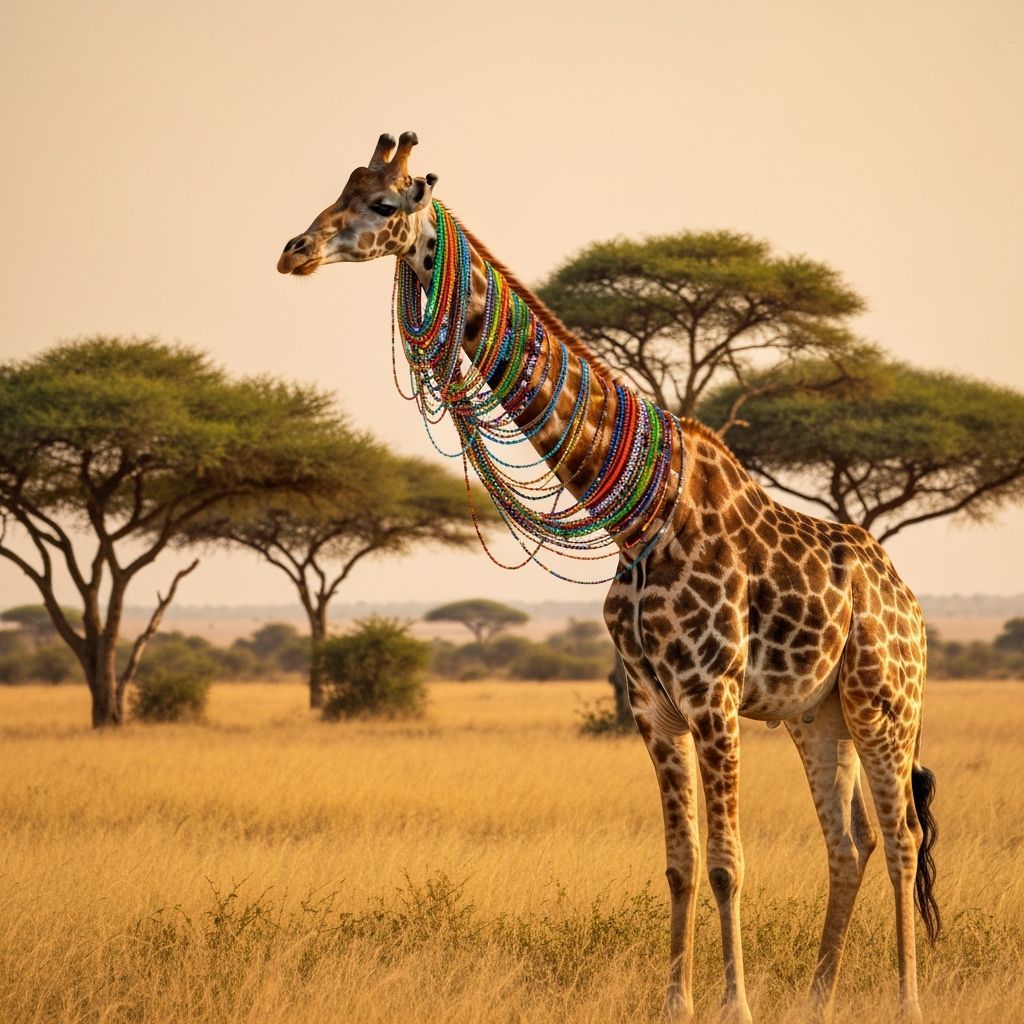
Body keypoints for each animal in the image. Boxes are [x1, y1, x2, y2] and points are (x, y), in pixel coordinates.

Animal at [277, 131, 940, 1024]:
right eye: (338, 190)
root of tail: (910, 602)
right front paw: (677, 1004)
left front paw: (734, 1007)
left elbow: (728, 863)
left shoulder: (712, 695)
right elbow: (682, 864)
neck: (637, 512)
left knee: (902, 836)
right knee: (852, 840)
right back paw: (816, 1001)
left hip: (883, 698)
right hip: (815, 713)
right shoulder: (653, 705)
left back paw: (905, 1001)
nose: (295, 251)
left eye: (382, 204)